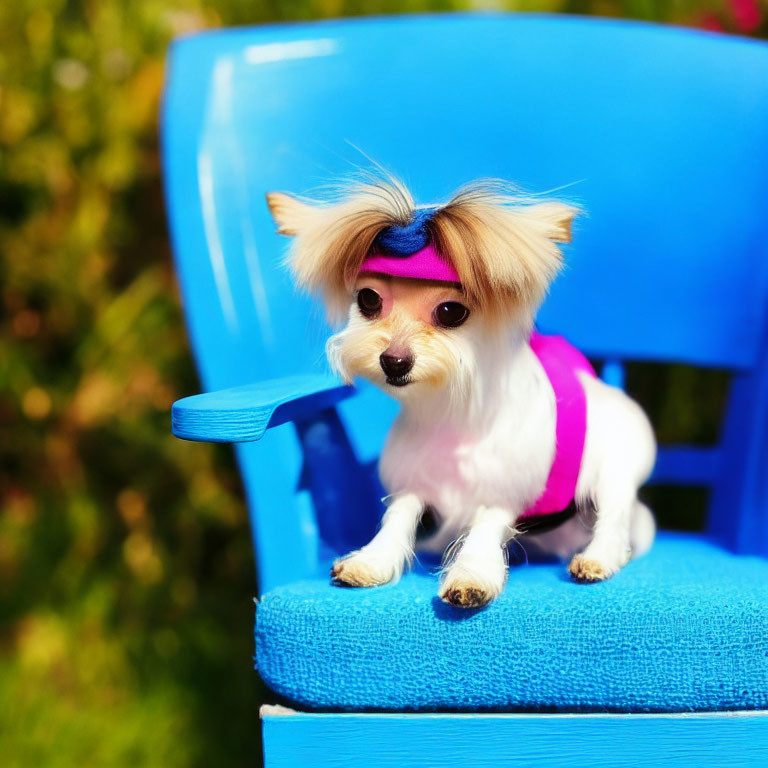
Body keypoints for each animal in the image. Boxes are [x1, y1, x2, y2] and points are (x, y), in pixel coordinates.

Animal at [268, 176, 656, 608]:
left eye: (451, 312)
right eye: (368, 300)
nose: (394, 361)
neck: (448, 413)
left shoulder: (500, 493)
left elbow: (483, 531)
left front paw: (472, 576)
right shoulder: (416, 483)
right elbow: (397, 518)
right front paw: (372, 561)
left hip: (614, 474)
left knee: (614, 518)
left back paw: (598, 558)